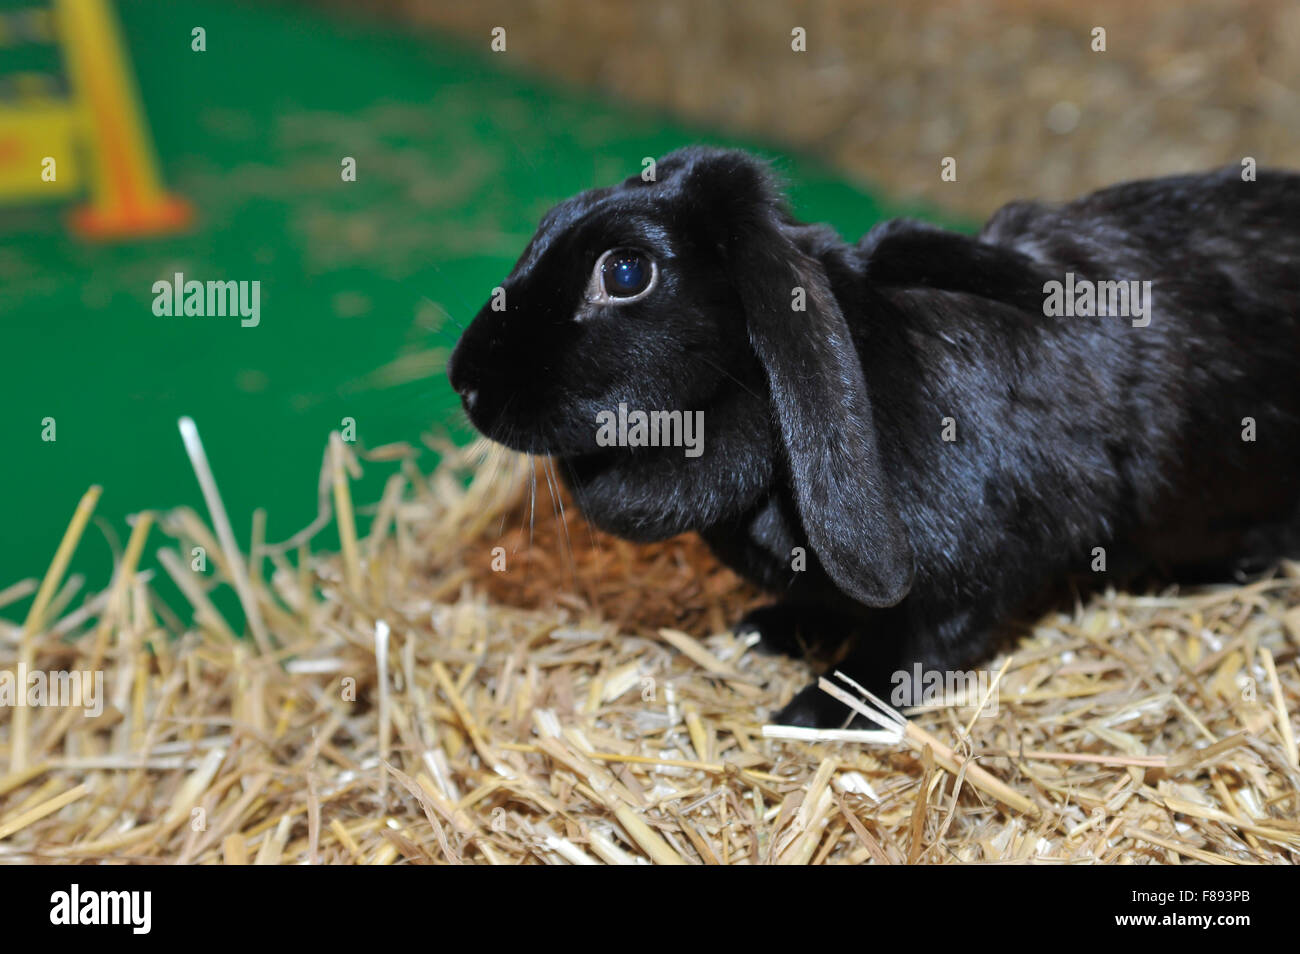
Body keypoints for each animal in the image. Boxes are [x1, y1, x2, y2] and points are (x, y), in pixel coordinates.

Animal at [446, 146, 1300, 727]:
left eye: (625, 273)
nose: (465, 381)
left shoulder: (989, 572)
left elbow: (920, 644)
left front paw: (818, 710)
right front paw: (771, 629)